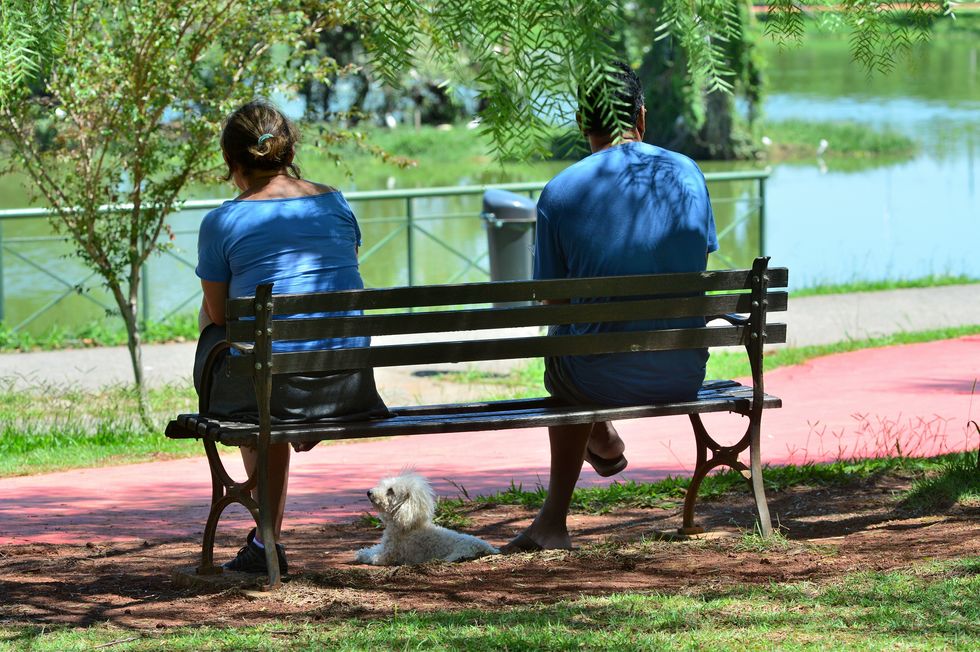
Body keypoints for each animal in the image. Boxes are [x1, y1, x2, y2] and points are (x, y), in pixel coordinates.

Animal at [354, 468, 498, 564]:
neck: (408, 526)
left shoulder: (388, 554)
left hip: (458, 553)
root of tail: (489, 548)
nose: (368, 492)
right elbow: (374, 548)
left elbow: (373, 556)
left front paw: (362, 554)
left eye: (390, 491)